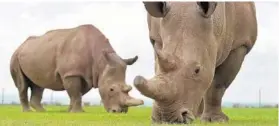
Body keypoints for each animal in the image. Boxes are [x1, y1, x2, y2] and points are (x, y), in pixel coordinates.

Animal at [9, 24, 144, 112]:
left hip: (34, 54)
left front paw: (70, 111)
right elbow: (75, 93)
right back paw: (28, 112)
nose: (121, 112)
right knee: (22, 85)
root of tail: (21, 46)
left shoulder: (89, 75)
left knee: (38, 85)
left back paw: (42, 111)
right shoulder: (71, 73)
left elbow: (77, 93)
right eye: (111, 89)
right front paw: (77, 112)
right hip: (15, 57)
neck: (101, 62)